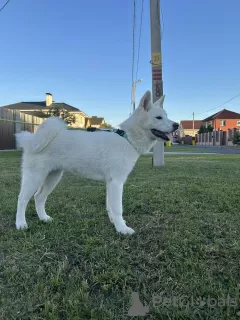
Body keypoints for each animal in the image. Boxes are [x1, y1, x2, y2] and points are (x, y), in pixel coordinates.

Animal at [15, 90, 178, 235]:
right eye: (158, 117)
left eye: (167, 116)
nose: (176, 125)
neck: (127, 139)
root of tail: (32, 139)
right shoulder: (117, 182)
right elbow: (117, 208)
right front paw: (122, 229)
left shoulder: (110, 183)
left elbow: (110, 206)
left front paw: (115, 223)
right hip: (34, 178)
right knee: (22, 199)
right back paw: (21, 224)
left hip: (53, 177)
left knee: (39, 197)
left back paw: (44, 218)